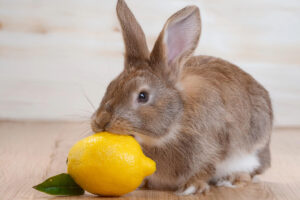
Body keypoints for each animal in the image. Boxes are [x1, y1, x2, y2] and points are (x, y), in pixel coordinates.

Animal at [90, 0, 274, 195]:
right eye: (111, 86)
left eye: (143, 96)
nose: (101, 122)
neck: (176, 120)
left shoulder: (212, 148)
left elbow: (206, 169)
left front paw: (191, 187)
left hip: (252, 153)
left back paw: (231, 180)